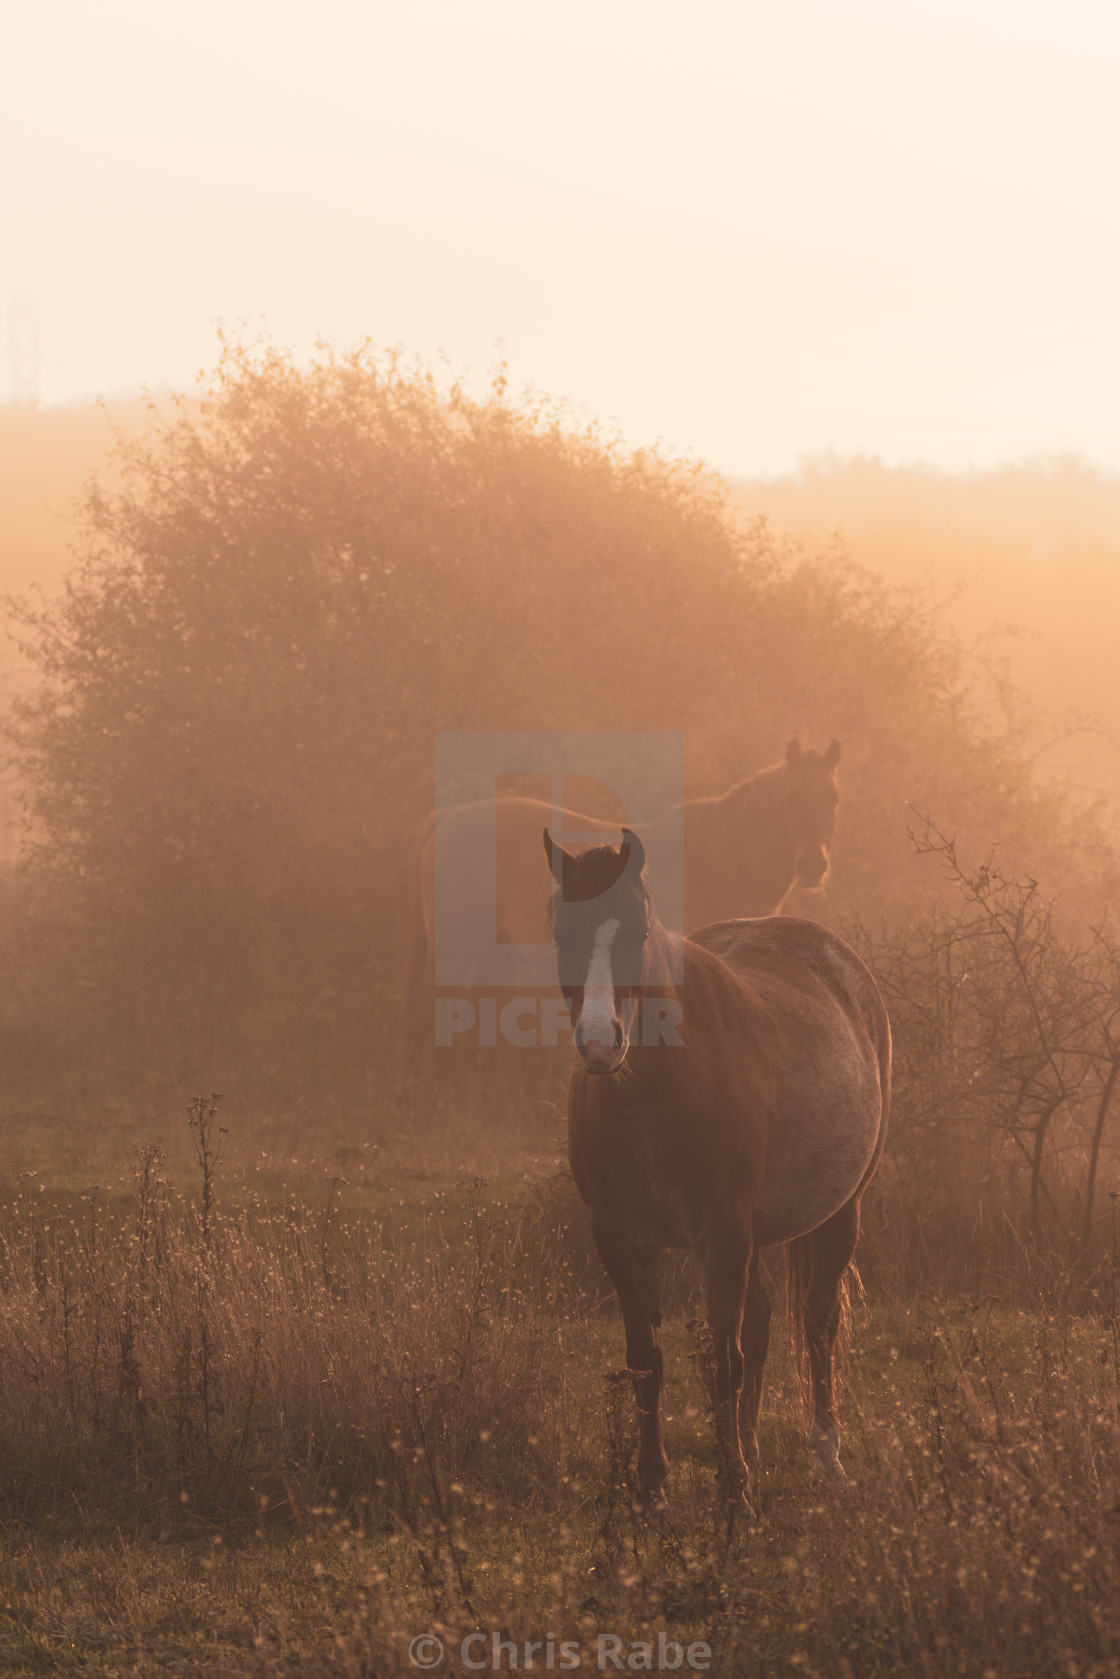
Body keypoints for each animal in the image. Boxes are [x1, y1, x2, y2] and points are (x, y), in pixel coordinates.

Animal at [544, 826, 893, 1511]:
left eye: (638, 931)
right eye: (560, 931)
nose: (599, 1044)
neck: (649, 1097)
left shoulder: (723, 1235)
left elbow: (725, 1362)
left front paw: (734, 1493)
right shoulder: (621, 1240)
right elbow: (648, 1361)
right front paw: (653, 1487)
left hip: (839, 1214)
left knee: (818, 1322)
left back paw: (825, 1456)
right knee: (760, 1323)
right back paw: (753, 1449)